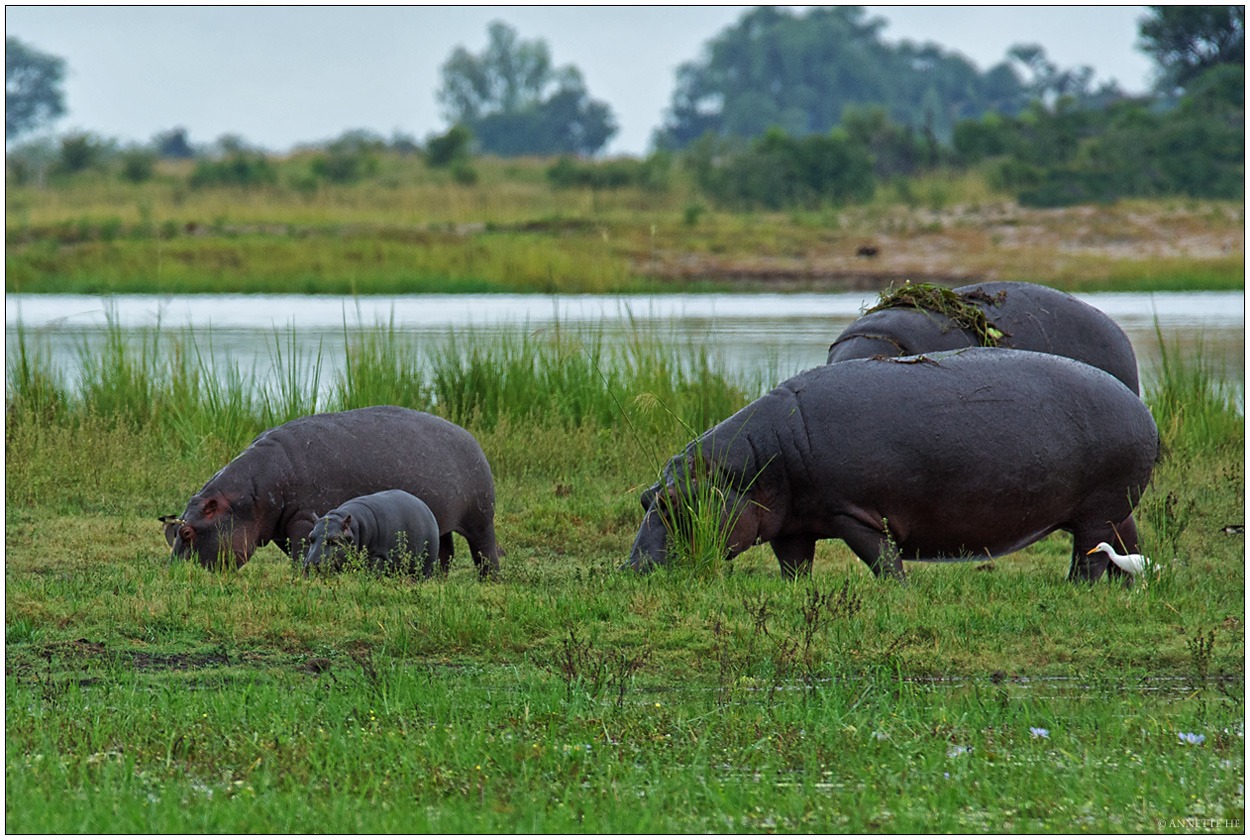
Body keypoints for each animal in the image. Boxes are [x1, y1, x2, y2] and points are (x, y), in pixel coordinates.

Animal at [300, 490, 442, 580]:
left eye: (335, 539)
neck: (354, 528)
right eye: (310, 536)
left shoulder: (379, 556)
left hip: (424, 567)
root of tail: (426, 507)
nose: (311, 563)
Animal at [630, 347, 1155, 585]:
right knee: (1126, 544)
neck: (751, 465)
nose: (630, 568)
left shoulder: (854, 512)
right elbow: (793, 562)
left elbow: (881, 557)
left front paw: (897, 591)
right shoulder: (790, 522)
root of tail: (1139, 404)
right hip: (1115, 510)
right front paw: (796, 589)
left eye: (670, 502)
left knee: (1089, 557)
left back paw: (1078, 589)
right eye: (643, 497)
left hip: (1096, 511)